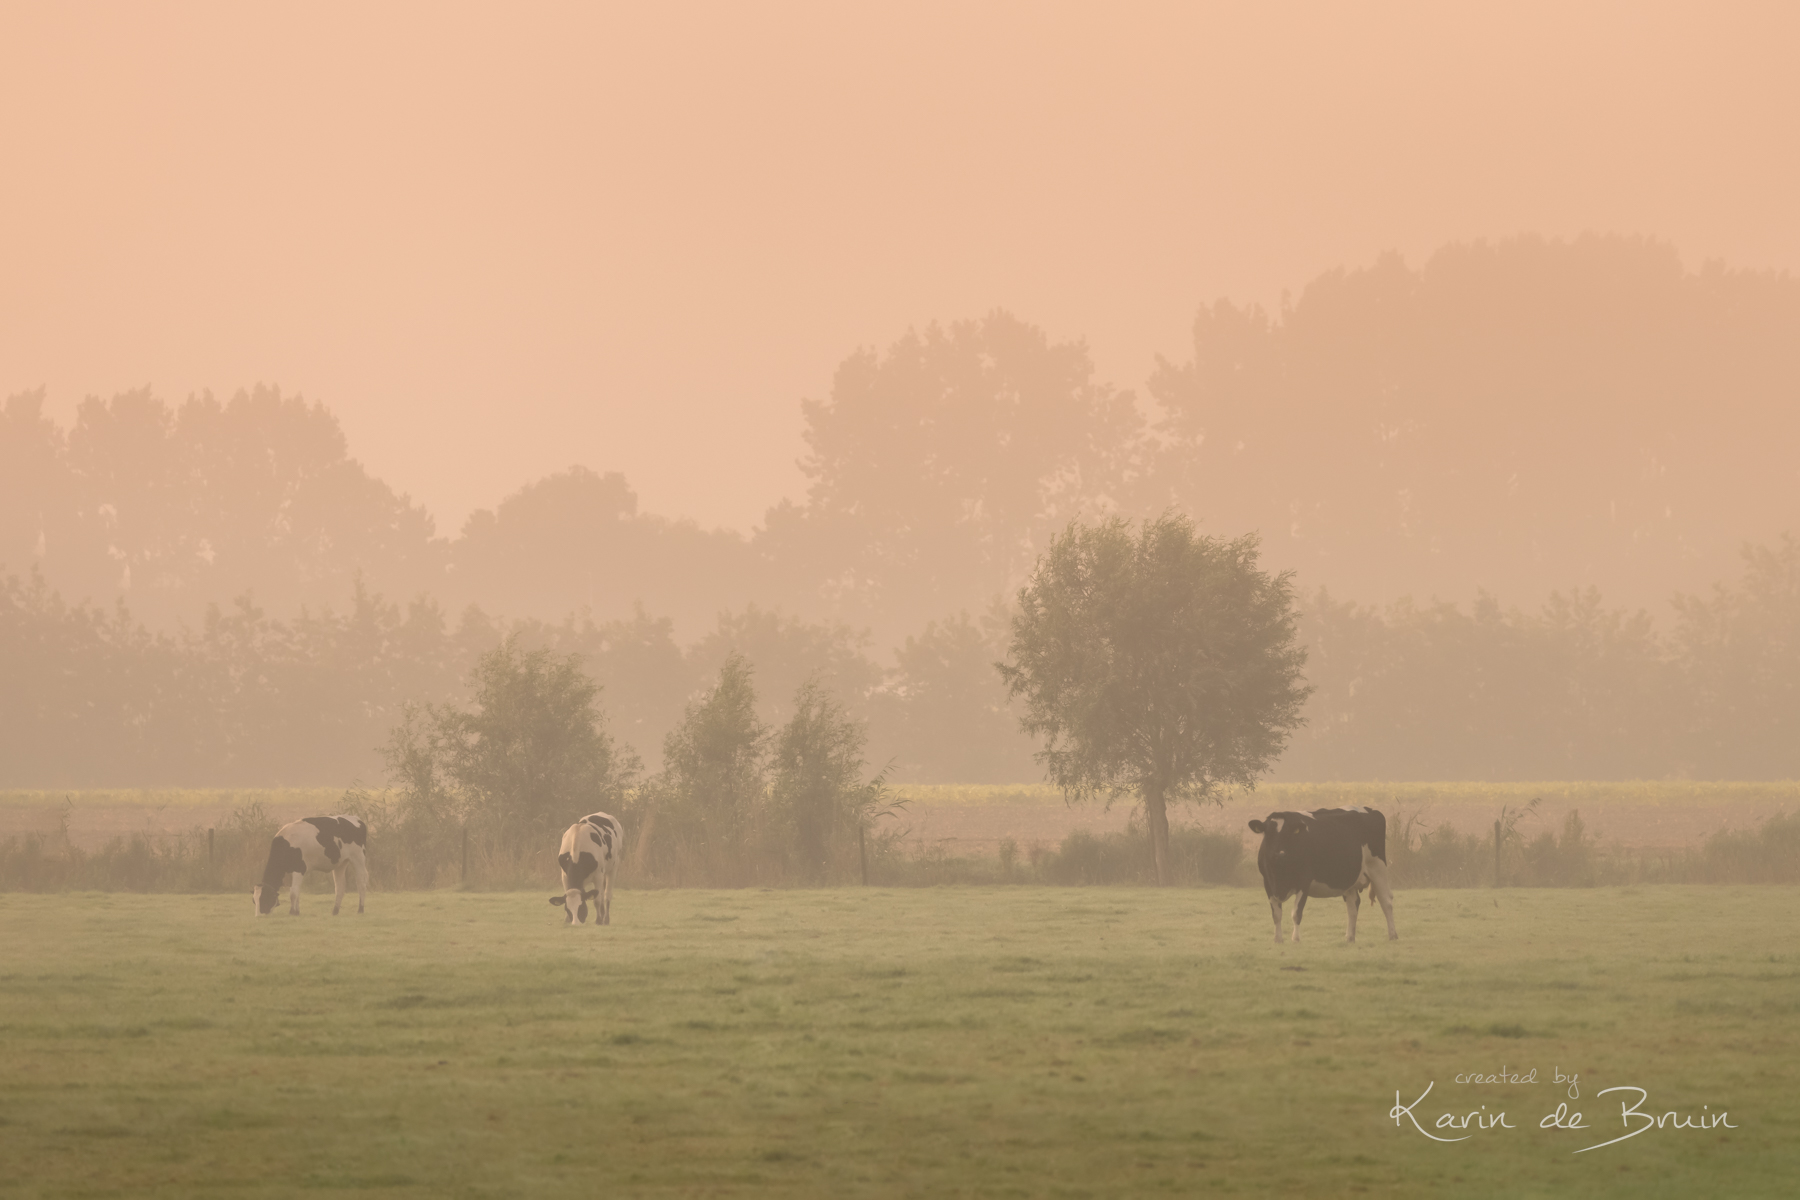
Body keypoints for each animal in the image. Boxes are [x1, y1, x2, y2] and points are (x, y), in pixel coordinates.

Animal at [1247, 807, 1397, 944]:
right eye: (1268, 833)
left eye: (1289, 834)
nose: (1279, 854)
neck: (1280, 874)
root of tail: (1370, 810)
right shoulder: (1268, 883)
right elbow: (1276, 914)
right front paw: (1278, 939)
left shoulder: (1304, 882)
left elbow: (1296, 913)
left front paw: (1295, 939)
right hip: (1349, 879)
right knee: (1353, 906)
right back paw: (1350, 937)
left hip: (1377, 867)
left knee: (1386, 901)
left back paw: (1393, 935)